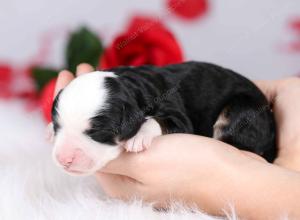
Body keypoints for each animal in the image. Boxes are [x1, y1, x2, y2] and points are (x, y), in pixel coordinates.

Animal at [51, 61, 276, 175]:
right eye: (56, 127)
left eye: (97, 132)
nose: (63, 159)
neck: (131, 85)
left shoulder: (178, 116)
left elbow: (159, 120)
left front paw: (139, 136)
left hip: (241, 111)